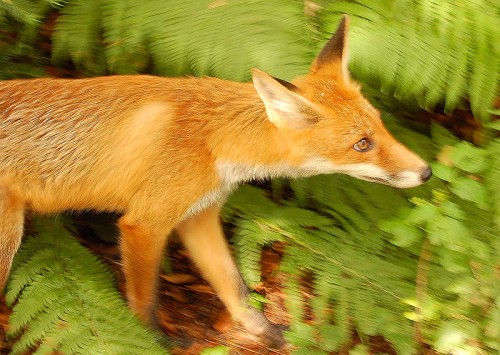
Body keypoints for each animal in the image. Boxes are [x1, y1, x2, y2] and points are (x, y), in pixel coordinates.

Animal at [0, 16, 430, 348]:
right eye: (362, 144)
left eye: (380, 125)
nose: (426, 171)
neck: (214, 139)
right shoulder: (145, 224)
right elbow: (145, 299)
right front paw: (150, 339)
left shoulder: (199, 217)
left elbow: (235, 288)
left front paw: (265, 332)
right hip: (7, 240)